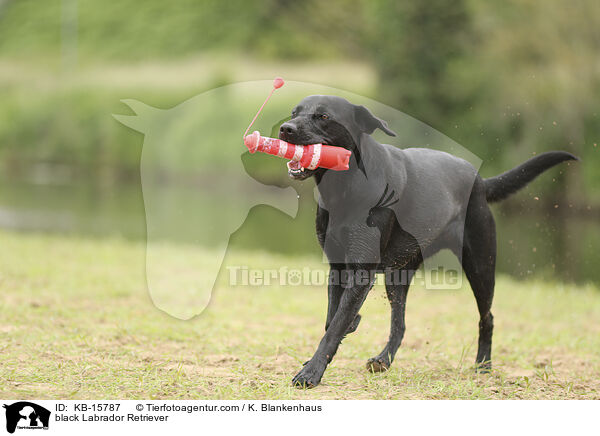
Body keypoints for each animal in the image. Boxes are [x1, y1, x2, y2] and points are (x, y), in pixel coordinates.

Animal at [278, 95, 580, 388]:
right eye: (294, 112)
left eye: (323, 116)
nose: (285, 129)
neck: (343, 187)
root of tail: (480, 181)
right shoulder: (338, 267)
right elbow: (333, 319)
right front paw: (342, 333)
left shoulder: (362, 271)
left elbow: (335, 325)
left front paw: (311, 373)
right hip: (399, 275)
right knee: (400, 325)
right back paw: (383, 360)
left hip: (480, 266)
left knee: (488, 318)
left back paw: (483, 365)